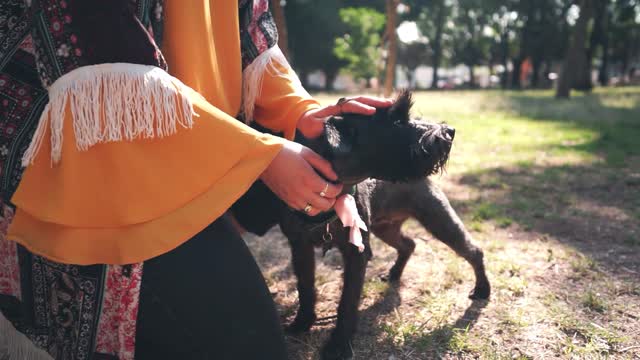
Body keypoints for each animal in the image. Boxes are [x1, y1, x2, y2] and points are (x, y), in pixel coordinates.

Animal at [232, 90, 488, 360]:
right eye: (396, 121)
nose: (449, 131)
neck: (331, 203)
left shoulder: (356, 254)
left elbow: (347, 301)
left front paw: (338, 345)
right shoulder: (300, 249)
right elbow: (306, 288)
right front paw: (302, 323)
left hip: (438, 219)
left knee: (473, 250)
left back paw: (482, 289)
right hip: (385, 228)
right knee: (409, 244)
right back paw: (394, 273)